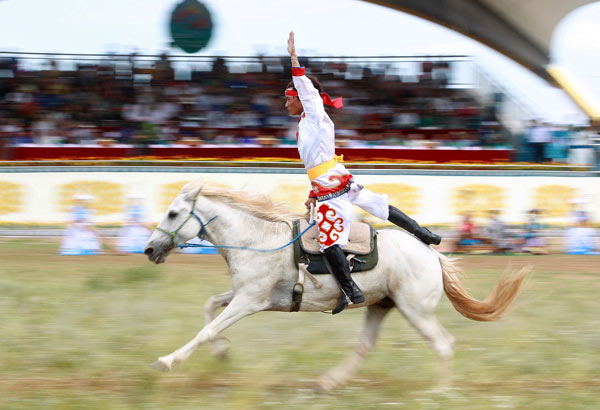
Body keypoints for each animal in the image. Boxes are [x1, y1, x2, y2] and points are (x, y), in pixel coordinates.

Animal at [144, 182, 528, 390]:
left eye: (174, 213)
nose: (149, 249)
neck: (257, 239)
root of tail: (432, 256)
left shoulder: (249, 301)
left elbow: (206, 330)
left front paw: (166, 361)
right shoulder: (245, 296)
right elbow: (209, 307)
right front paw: (222, 353)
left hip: (415, 310)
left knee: (443, 344)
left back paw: (439, 392)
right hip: (381, 305)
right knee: (366, 346)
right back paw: (330, 382)